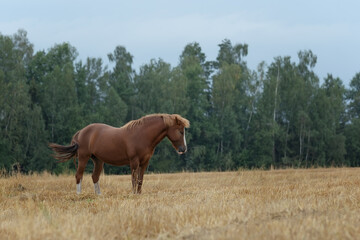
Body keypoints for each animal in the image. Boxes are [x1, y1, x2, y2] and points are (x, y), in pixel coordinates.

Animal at [49, 113, 190, 194]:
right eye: (180, 131)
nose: (183, 149)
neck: (142, 135)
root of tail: (81, 132)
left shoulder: (144, 163)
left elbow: (140, 179)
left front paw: (139, 194)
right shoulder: (134, 162)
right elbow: (134, 179)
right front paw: (133, 194)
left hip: (98, 160)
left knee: (95, 176)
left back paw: (98, 195)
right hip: (84, 158)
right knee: (79, 175)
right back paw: (79, 195)